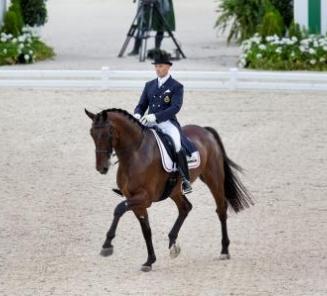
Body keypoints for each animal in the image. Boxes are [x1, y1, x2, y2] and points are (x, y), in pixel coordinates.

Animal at [85, 107, 254, 272]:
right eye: (92, 133)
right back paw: (173, 243)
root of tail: (204, 130)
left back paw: (224, 251)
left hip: (213, 178)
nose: (102, 168)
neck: (135, 154)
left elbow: (119, 209)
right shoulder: (135, 200)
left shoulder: (144, 197)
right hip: (175, 190)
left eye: (108, 133)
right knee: (185, 207)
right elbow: (146, 230)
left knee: (221, 209)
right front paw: (149, 261)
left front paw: (107, 245)